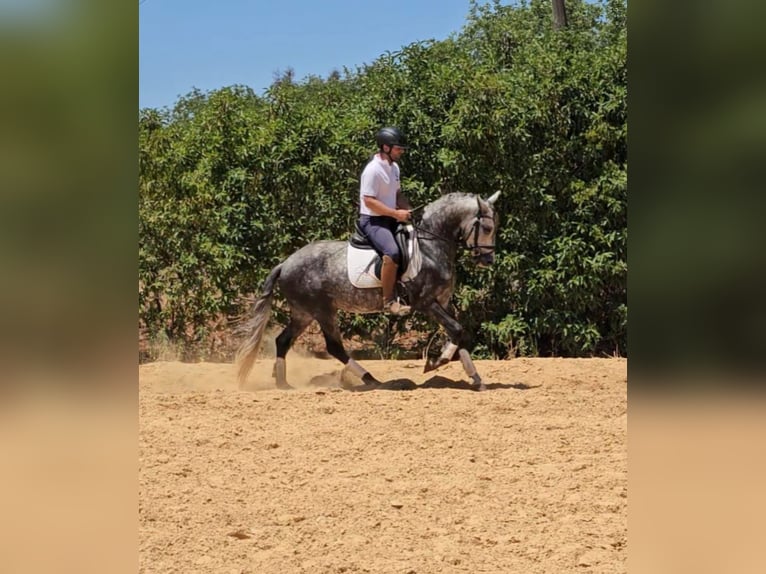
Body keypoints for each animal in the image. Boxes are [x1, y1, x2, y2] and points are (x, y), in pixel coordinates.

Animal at [237, 191, 500, 394]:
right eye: (487, 227)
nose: (487, 260)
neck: (430, 247)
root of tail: (285, 263)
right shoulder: (426, 303)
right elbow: (457, 330)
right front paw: (436, 362)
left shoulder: (443, 303)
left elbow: (457, 333)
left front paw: (475, 378)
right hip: (322, 311)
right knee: (334, 347)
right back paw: (371, 380)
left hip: (304, 313)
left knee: (283, 340)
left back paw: (283, 383)